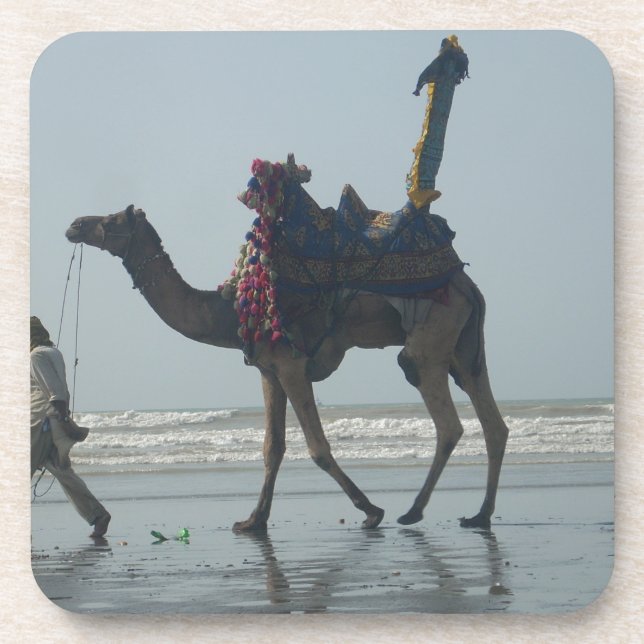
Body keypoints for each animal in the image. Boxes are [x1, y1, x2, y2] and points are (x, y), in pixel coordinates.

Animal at [66, 177, 509, 532]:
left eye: (112, 220)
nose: (73, 225)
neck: (231, 310)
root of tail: (467, 284)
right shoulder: (267, 370)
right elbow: (271, 448)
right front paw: (252, 520)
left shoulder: (292, 364)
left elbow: (317, 447)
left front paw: (370, 510)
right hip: (464, 345)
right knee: (493, 422)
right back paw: (480, 514)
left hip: (431, 334)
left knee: (444, 416)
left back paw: (413, 511)